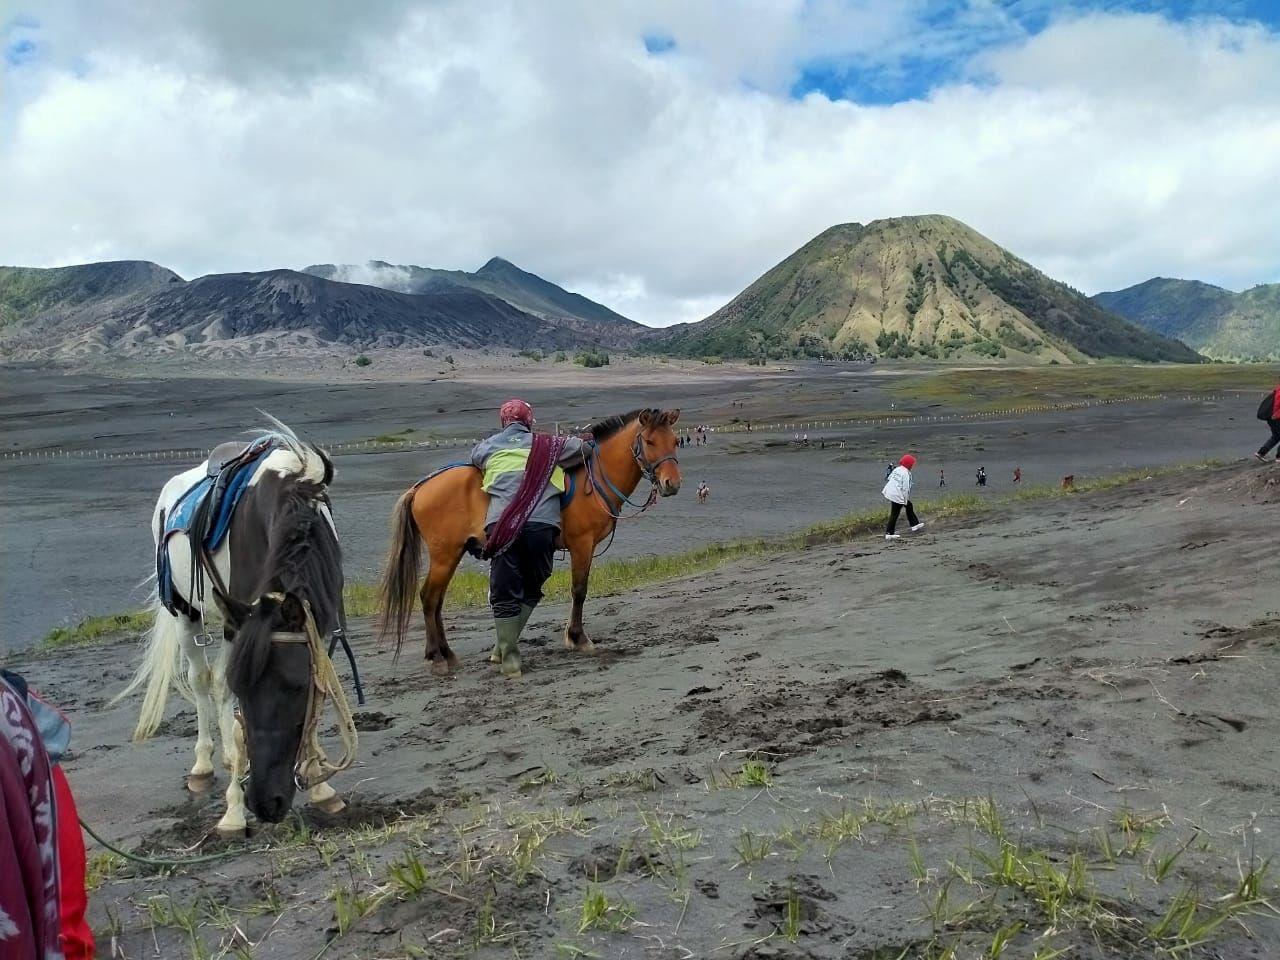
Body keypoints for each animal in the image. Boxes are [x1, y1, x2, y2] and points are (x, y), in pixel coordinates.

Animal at [115, 424, 353, 839]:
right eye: (247, 690)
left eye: (296, 688)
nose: (266, 803)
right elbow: (232, 710)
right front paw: (233, 810)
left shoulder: (316, 628)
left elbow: (318, 700)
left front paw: (321, 788)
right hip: (186, 613)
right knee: (202, 681)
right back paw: (205, 766)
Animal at [376, 409, 680, 670]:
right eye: (650, 441)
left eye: (675, 441)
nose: (672, 484)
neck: (593, 478)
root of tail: (419, 487)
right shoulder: (582, 545)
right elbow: (579, 591)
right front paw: (577, 637)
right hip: (445, 554)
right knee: (429, 598)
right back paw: (438, 656)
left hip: (453, 554)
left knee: (437, 600)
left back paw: (446, 653)